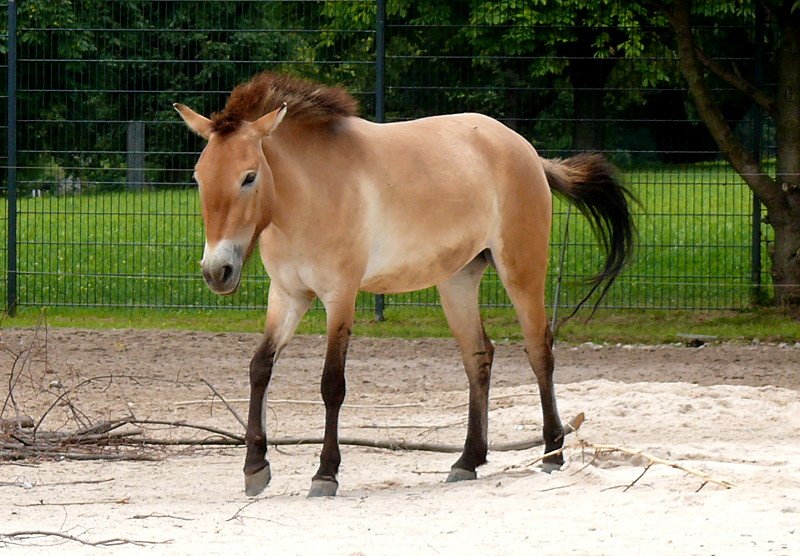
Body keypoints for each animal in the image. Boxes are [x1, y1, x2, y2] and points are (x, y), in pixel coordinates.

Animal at [173, 71, 632, 498]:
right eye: (198, 177)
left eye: (249, 177)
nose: (216, 271)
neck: (308, 191)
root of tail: (528, 152)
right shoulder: (287, 295)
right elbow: (259, 368)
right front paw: (255, 468)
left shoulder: (340, 297)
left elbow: (331, 384)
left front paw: (325, 473)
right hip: (457, 281)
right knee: (478, 357)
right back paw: (467, 460)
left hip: (522, 270)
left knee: (540, 350)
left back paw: (553, 452)